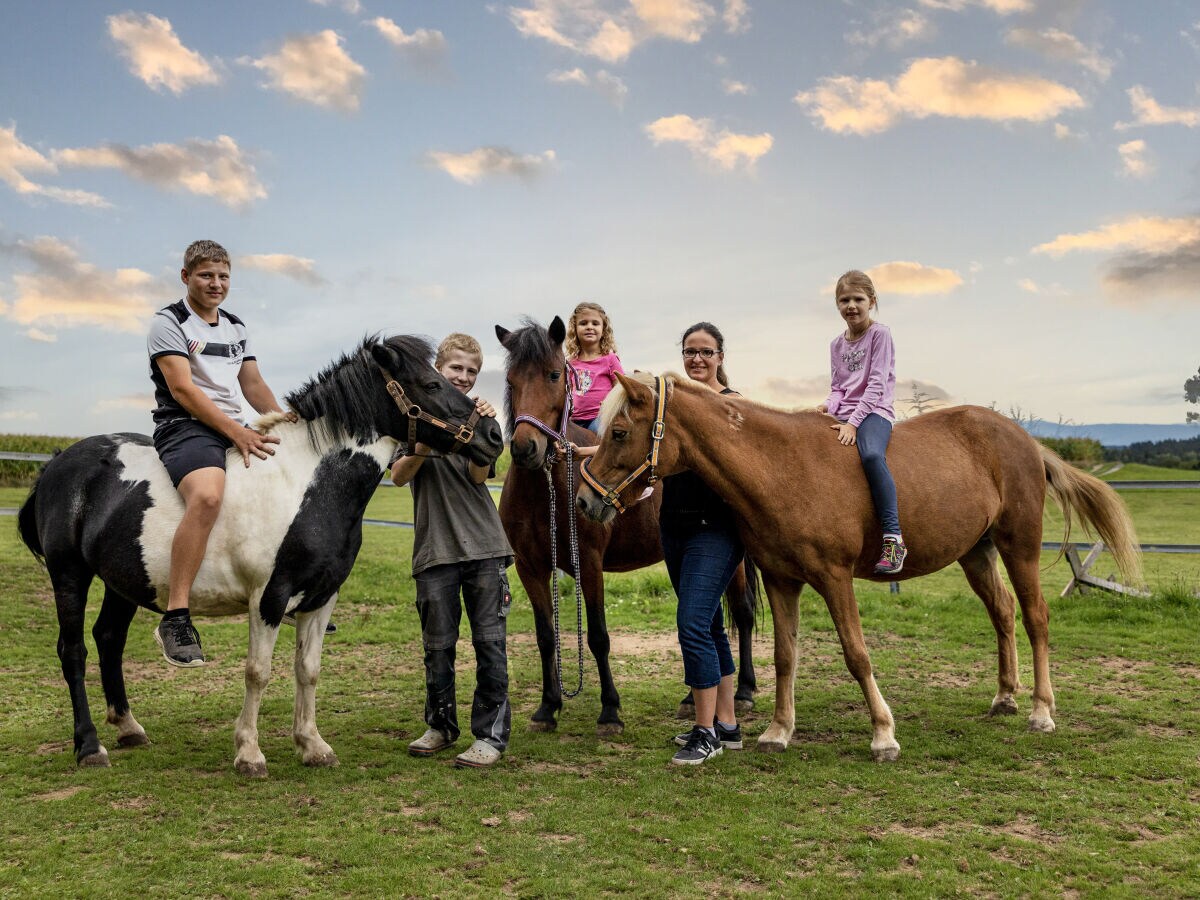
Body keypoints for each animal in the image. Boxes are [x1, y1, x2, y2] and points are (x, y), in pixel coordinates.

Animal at [21, 336, 504, 777]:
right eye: (432, 384)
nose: (494, 436)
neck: (303, 483)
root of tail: (58, 462)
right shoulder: (268, 599)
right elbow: (258, 672)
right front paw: (249, 753)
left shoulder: (321, 597)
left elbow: (308, 669)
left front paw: (312, 745)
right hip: (69, 575)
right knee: (74, 650)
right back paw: (89, 746)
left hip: (123, 582)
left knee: (109, 639)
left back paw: (127, 727)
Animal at [494, 321, 758, 734]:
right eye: (510, 380)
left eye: (554, 375)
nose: (525, 449)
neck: (547, 491)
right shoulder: (530, 568)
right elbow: (545, 637)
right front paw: (548, 707)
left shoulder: (588, 563)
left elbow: (598, 637)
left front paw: (609, 711)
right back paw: (691, 698)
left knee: (743, 612)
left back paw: (744, 690)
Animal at [580, 374, 1142, 763]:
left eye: (620, 432)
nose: (585, 500)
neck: (780, 467)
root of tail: (1025, 440)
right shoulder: (783, 582)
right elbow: (785, 657)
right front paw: (778, 731)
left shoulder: (834, 578)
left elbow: (857, 655)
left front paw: (883, 735)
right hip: (977, 553)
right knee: (1003, 613)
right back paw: (1005, 697)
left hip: (1018, 545)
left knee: (1035, 617)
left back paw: (1041, 711)